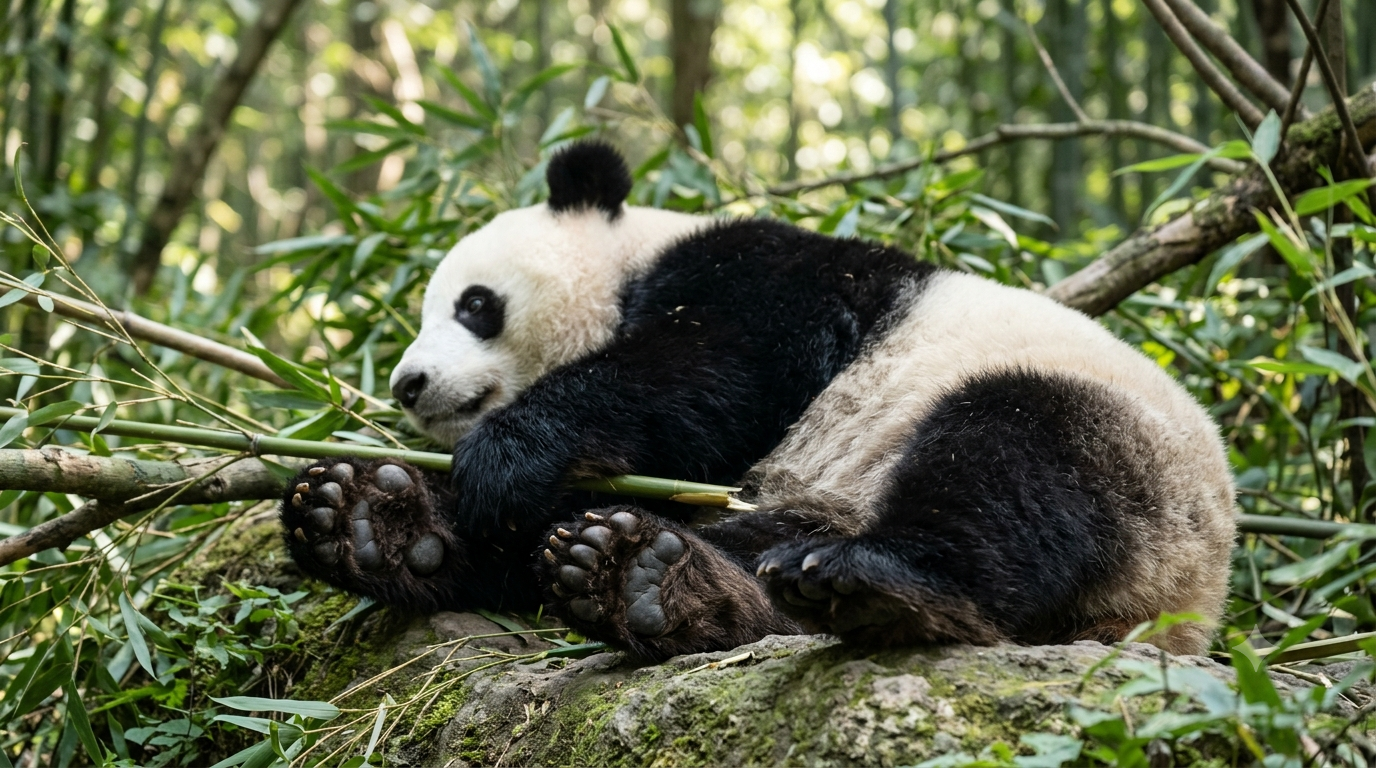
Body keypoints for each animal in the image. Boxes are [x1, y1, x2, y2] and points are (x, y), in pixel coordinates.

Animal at [281, 140, 1236, 661]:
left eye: (474, 304)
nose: (408, 383)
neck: (632, 256)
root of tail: (1186, 612)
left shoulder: (768, 275)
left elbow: (712, 370)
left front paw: (504, 457)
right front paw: (386, 513)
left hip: (1126, 455)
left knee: (1010, 468)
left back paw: (882, 584)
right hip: (805, 499)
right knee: (743, 549)